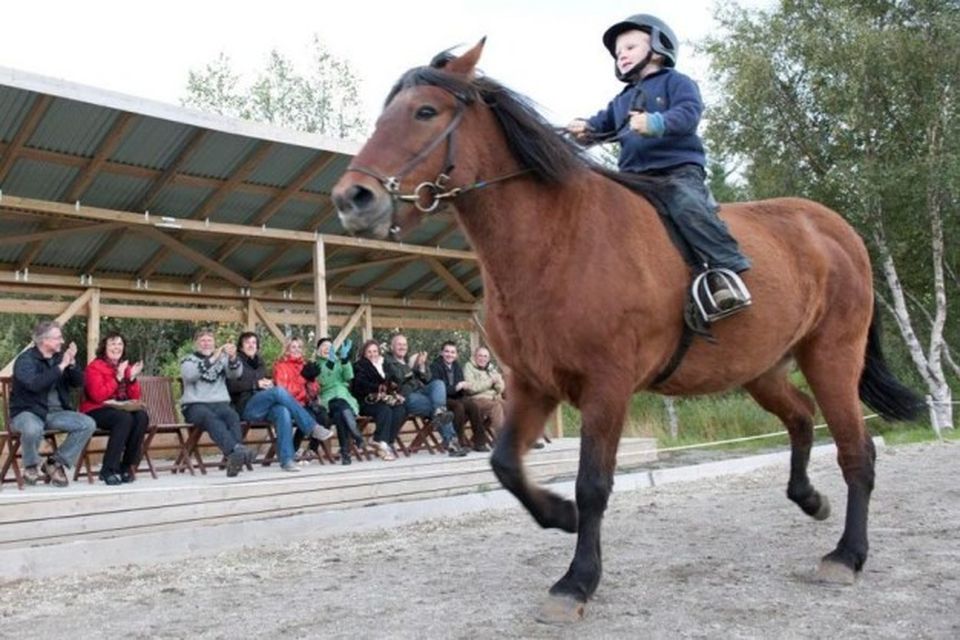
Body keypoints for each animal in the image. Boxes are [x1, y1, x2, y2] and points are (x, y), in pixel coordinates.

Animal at [332, 42, 924, 624]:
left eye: (425, 112)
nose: (351, 198)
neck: (558, 237)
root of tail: (838, 231)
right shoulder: (531, 383)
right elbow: (505, 464)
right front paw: (560, 515)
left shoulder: (607, 385)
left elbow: (593, 483)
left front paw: (576, 581)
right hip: (762, 369)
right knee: (802, 417)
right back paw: (810, 500)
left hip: (831, 357)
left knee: (856, 451)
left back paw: (847, 555)